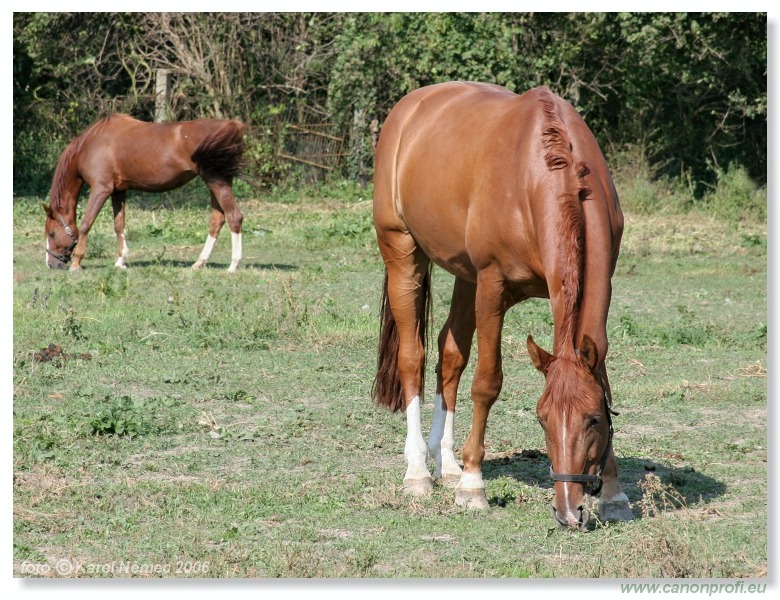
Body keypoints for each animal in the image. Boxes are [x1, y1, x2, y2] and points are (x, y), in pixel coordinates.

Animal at [43, 113, 244, 272]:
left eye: (52, 234)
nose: (51, 264)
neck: (91, 144)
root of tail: (232, 126)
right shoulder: (118, 191)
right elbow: (119, 225)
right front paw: (121, 261)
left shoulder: (101, 189)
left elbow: (86, 223)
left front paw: (76, 263)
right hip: (217, 182)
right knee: (217, 220)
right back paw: (199, 263)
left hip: (216, 181)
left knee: (234, 217)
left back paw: (233, 265)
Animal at [374, 82, 636, 532]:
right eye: (541, 419)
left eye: (594, 419)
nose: (568, 511)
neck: (541, 177)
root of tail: (407, 108)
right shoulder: (493, 287)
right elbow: (487, 382)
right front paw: (473, 486)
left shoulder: (598, 292)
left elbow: (602, 378)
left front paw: (615, 495)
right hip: (404, 253)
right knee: (413, 358)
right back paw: (419, 473)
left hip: (465, 276)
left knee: (450, 357)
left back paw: (447, 464)